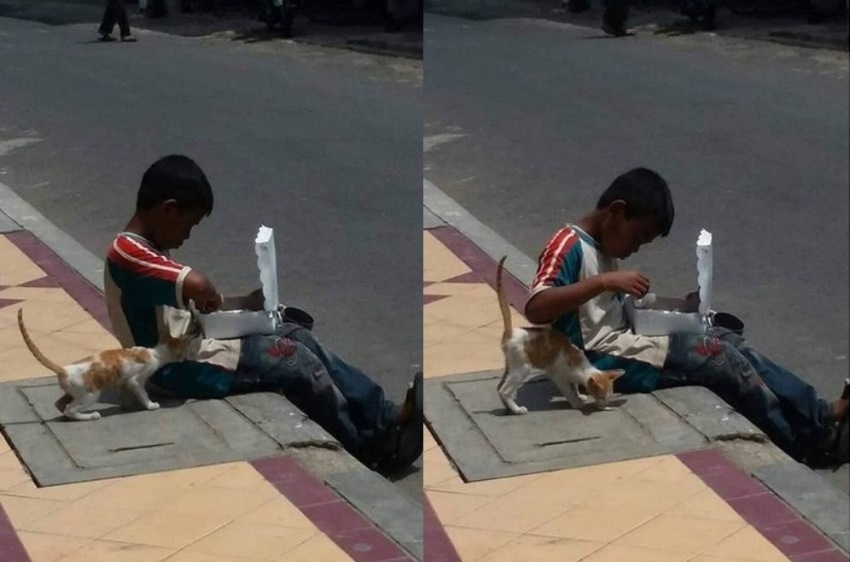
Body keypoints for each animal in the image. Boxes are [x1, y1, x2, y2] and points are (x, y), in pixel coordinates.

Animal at [18, 306, 194, 420]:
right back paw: (90, 416)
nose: (186, 358)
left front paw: (126, 405)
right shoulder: (136, 380)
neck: (155, 353)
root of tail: (64, 369)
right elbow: (143, 393)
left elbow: (124, 392)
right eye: (185, 351)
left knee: (59, 404)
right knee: (70, 409)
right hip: (90, 394)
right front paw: (150, 405)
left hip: (74, 392)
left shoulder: (123, 381)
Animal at [494, 256, 628, 414]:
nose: (605, 404)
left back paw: (508, 406)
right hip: (522, 365)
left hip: (511, 363)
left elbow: (574, 387)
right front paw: (577, 403)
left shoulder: (572, 377)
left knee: (500, 386)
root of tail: (511, 331)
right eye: (601, 396)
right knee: (504, 390)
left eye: (609, 396)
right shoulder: (559, 376)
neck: (582, 367)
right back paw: (516, 409)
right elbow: (568, 391)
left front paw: (579, 396)